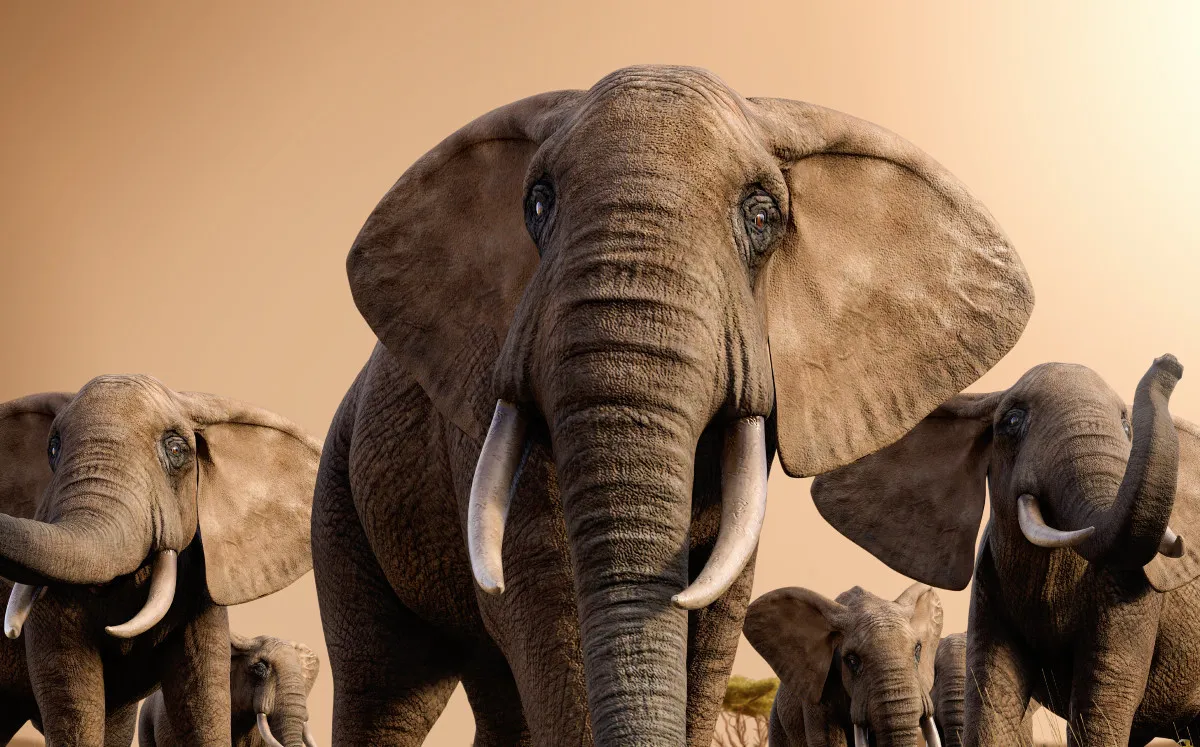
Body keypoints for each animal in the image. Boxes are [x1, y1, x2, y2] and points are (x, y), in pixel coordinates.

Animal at [811, 355, 1200, 746]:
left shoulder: (1132, 592)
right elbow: (993, 696)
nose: (1169, 363)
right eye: (1012, 421)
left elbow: (1102, 699)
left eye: (1126, 426)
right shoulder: (988, 583)